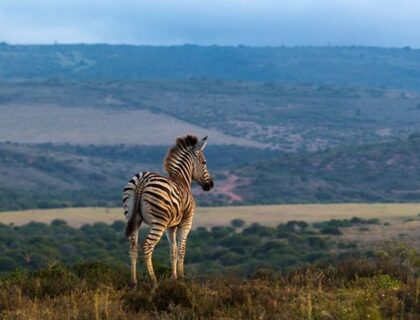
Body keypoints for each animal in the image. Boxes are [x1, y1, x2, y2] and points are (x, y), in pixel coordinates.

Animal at [121, 134, 213, 286]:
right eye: (204, 162)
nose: (210, 185)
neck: (181, 179)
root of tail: (142, 180)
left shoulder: (171, 226)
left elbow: (173, 250)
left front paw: (174, 278)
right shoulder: (186, 222)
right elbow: (182, 249)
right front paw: (181, 277)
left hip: (132, 218)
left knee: (133, 247)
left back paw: (133, 282)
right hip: (159, 221)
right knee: (147, 246)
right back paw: (153, 281)